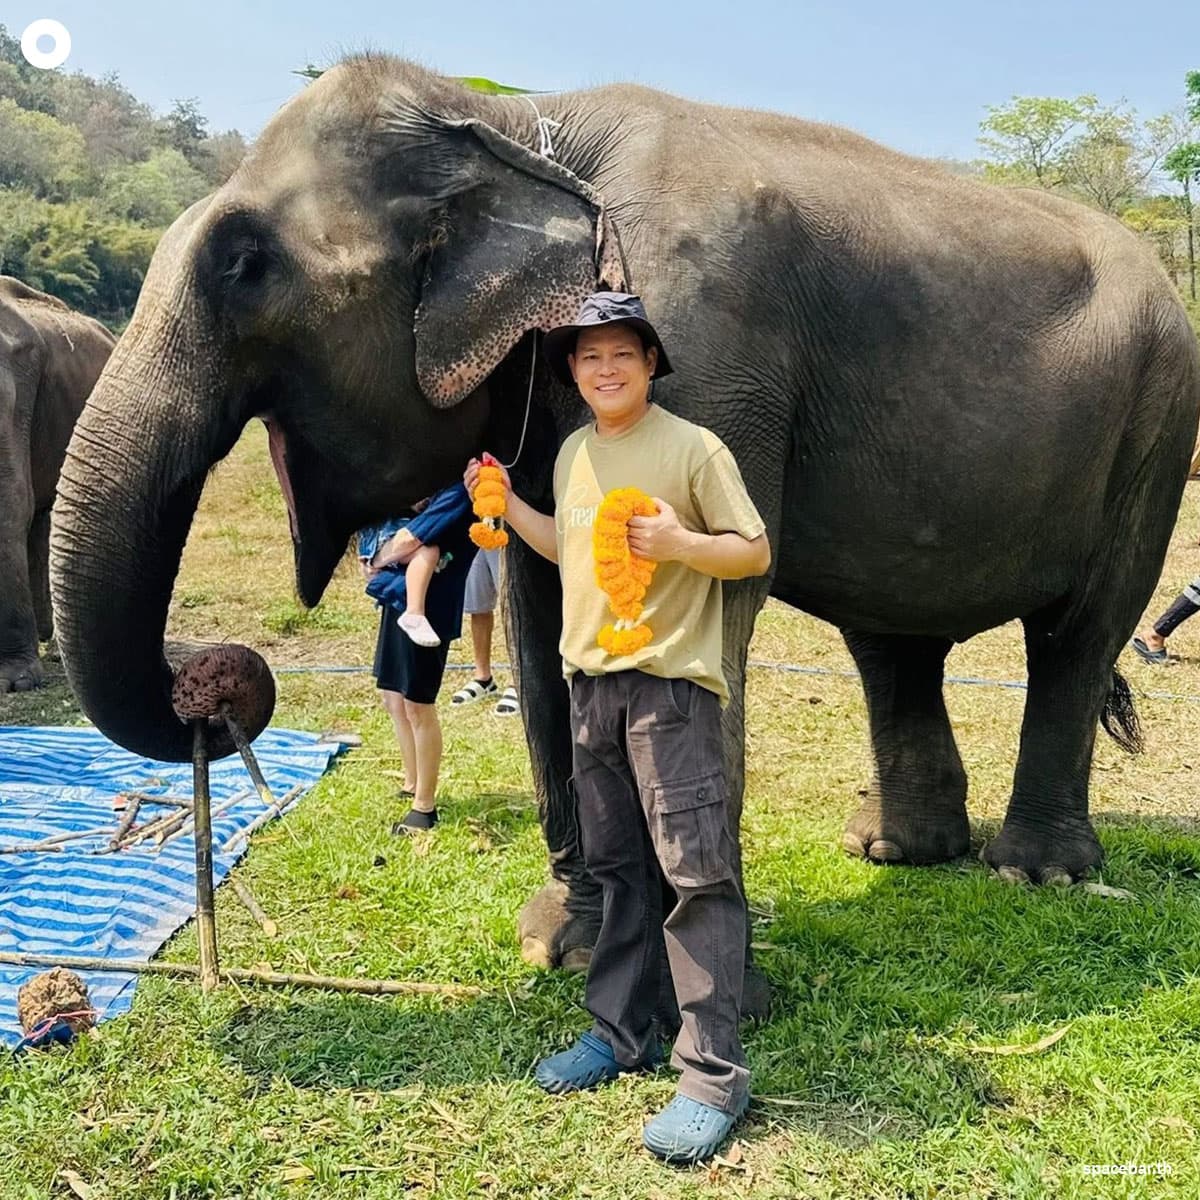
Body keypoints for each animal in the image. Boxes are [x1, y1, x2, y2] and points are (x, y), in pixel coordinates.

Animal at [50, 59, 1200, 975]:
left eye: (242, 263)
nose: (216, 682)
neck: (515, 122)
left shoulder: (709, 344)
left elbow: (709, 591)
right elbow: (541, 608)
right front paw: (565, 943)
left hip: (1158, 433)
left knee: (1076, 636)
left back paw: (1037, 873)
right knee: (894, 646)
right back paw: (894, 853)